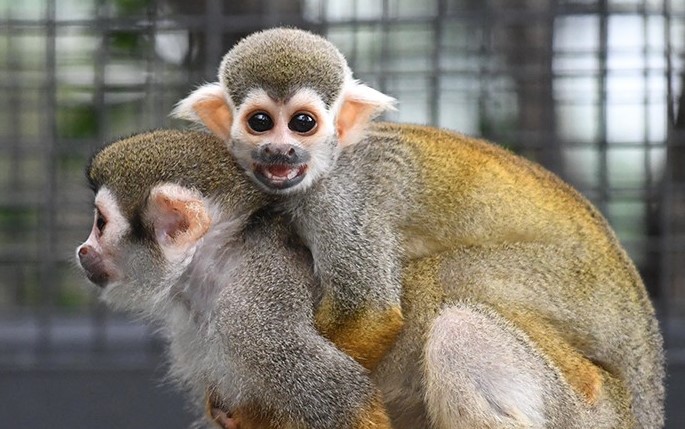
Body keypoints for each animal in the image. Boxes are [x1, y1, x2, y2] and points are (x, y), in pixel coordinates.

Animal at [76, 129, 664, 426]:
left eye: (101, 223)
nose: (83, 250)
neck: (212, 264)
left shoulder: (257, 314)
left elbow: (342, 398)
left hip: (584, 411)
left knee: (461, 331)